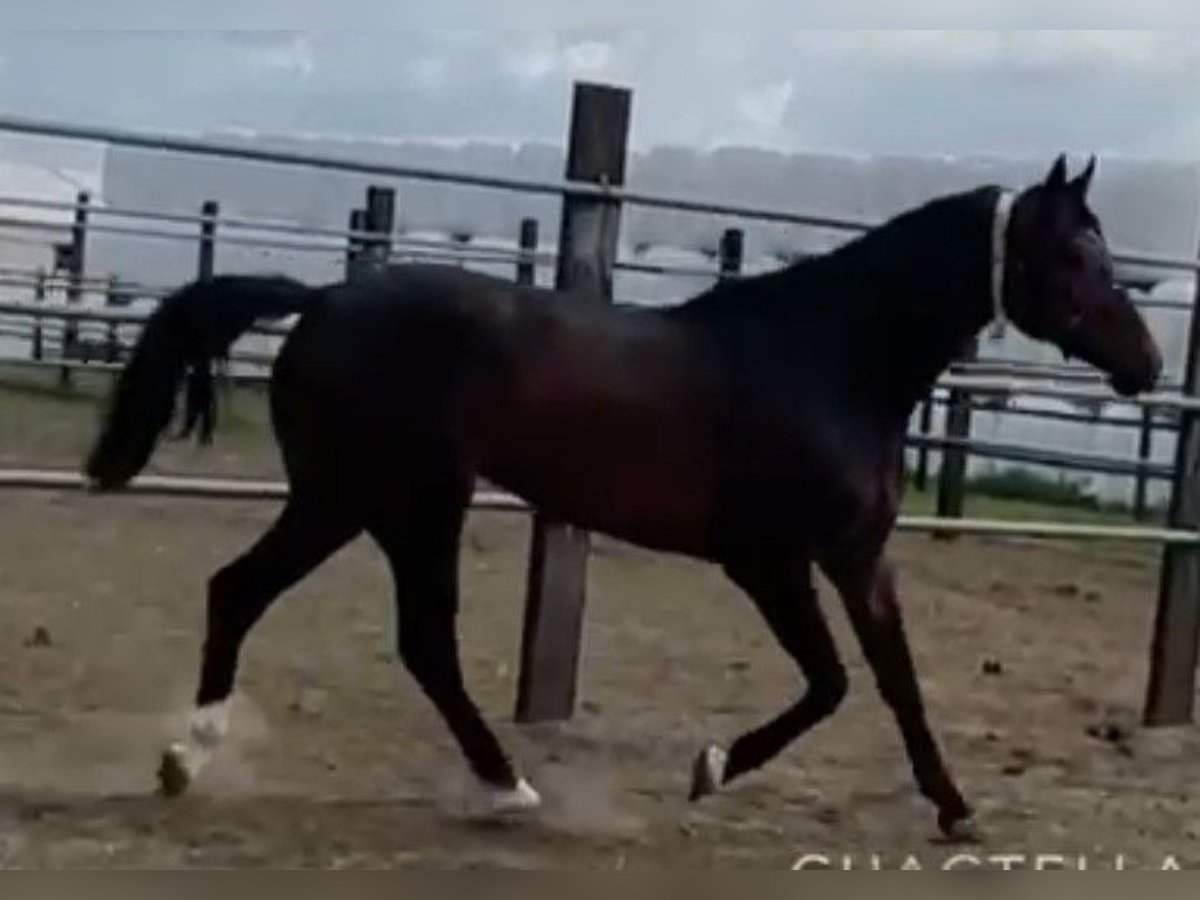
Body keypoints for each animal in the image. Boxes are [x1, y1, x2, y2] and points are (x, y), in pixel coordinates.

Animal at [79, 154, 1156, 840]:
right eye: (1073, 257)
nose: (1146, 363)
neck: (827, 360)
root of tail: (321, 301)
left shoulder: (857, 556)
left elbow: (897, 680)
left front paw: (958, 810)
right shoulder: (767, 561)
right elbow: (832, 684)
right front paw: (713, 768)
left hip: (364, 504)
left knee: (285, 604)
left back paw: (208, 761)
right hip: (391, 502)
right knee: (364, 625)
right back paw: (494, 789)